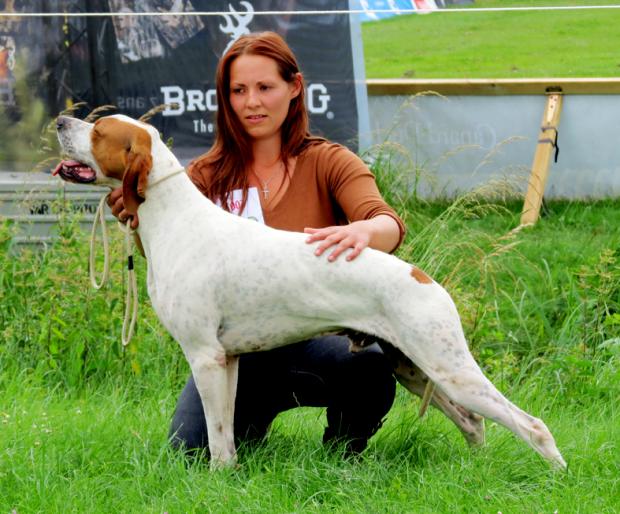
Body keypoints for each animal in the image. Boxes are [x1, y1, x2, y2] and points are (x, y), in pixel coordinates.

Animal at [54, 115, 568, 468]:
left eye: (99, 130)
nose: (60, 120)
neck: (177, 220)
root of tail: (421, 276)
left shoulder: (204, 356)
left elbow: (216, 434)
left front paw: (217, 478)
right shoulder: (228, 360)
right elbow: (226, 432)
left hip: (450, 368)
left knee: (532, 425)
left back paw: (555, 476)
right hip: (415, 369)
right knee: (474, 423)